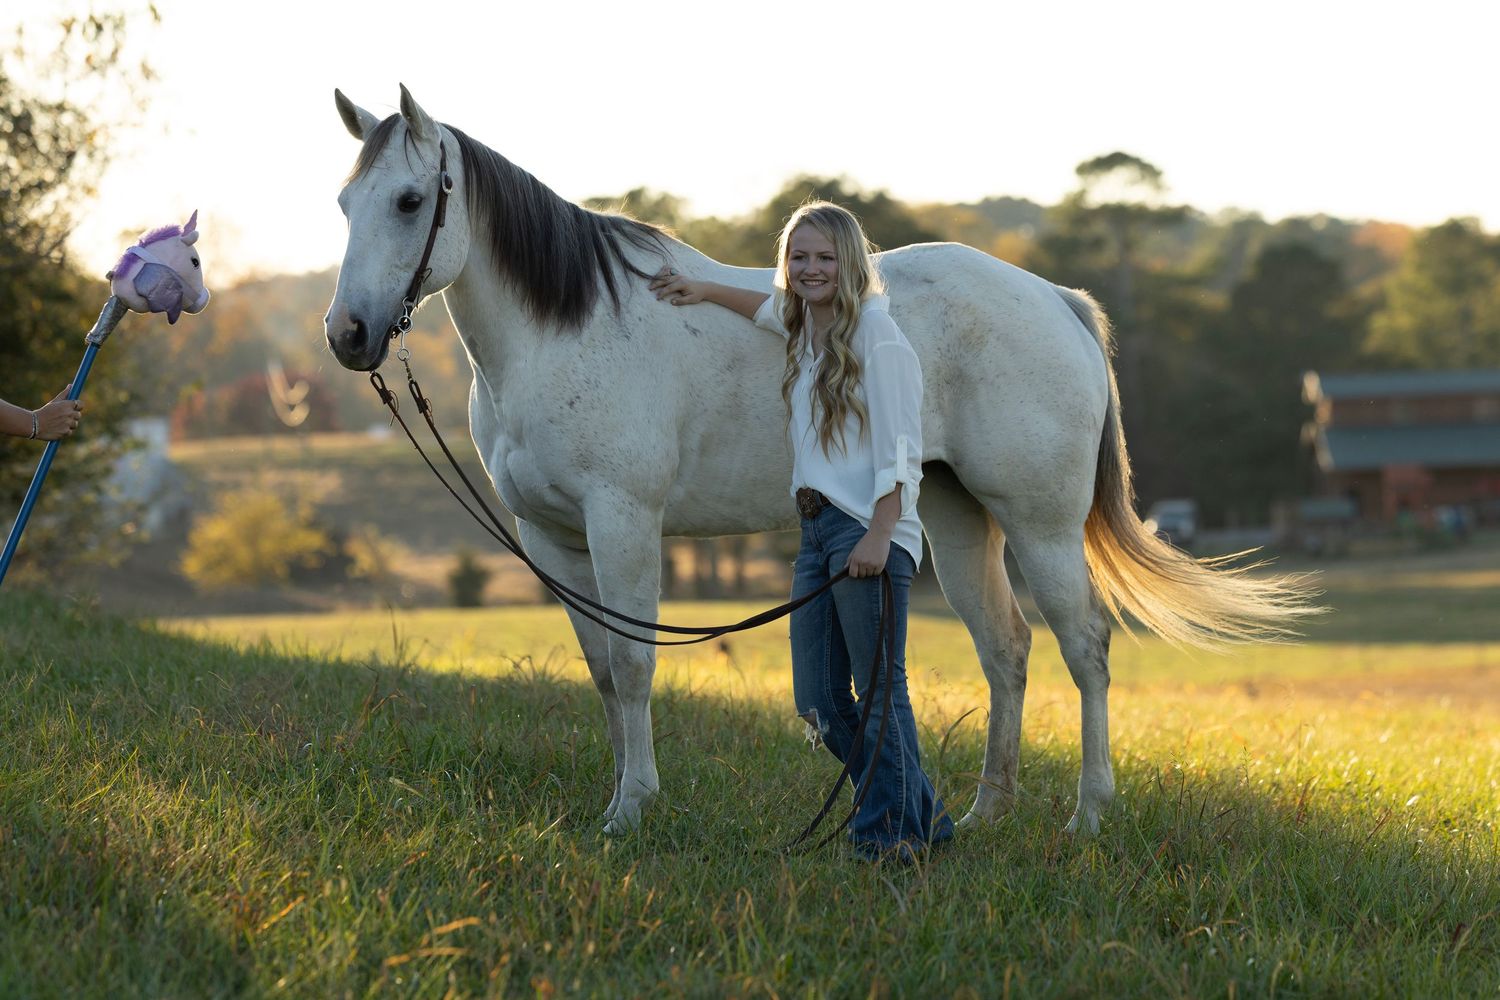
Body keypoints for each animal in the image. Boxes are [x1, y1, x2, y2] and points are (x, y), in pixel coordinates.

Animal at [325, 86, 1313, 837]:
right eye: (342, 204)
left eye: (409, 201)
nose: (348, 336)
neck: (565, 330)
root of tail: (1055, 299)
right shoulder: (550, 537)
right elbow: (604, 673)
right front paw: (620, 797)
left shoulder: (622, 522)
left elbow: (637, 666)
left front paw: (632, 810)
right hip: (956, 519)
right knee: (1006, 648)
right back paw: (985, 814)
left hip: (1040, 523)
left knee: (1087, 649)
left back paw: (1088, 816)